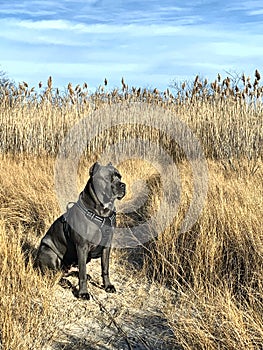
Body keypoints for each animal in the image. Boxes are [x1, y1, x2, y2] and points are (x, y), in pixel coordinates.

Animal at [36, 163, 126, 300]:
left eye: (119, 176)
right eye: (106, 177)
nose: (123, 185)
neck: (102, 212)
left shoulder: (106, 247)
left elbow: (105, 268)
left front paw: (108, 286)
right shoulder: (82, 247)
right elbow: (82, 273)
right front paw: (83, 293)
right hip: (48, 252)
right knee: (54, 274)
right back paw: (63, 281)